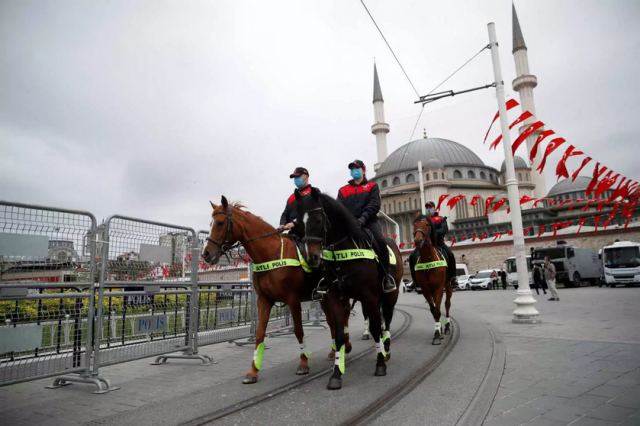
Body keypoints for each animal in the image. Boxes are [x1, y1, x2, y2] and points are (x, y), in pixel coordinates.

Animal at [204, 196, 336, 382]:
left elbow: (299, 331)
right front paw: (253, 370)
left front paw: (303, 363)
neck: (270, 254)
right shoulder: (264, 301)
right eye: (211, 223)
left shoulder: (293, 301)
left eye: (220, 223)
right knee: (333, 322)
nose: (206, 254)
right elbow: (259, 334)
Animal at [296, 187, 400, 390]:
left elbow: (375, 328)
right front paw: (336, 374)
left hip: (391, 295)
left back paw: (386, 348)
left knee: (387, 320)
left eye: (318, 220)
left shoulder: (369, 296)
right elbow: (338, 335)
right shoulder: (335, 298)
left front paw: (380, 364)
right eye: (300, 222)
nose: (312, 258)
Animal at [412, 215, 452, 344]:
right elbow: (433, 309)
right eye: (414, 225)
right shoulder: (425, 290)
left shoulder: (439, 288)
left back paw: (447, 326)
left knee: (447, 304)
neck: (428, 260)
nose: (418, 240)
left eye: (427, 225)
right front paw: (437, 330)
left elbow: (438, 310)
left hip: (448, 285)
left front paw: (437, 334)